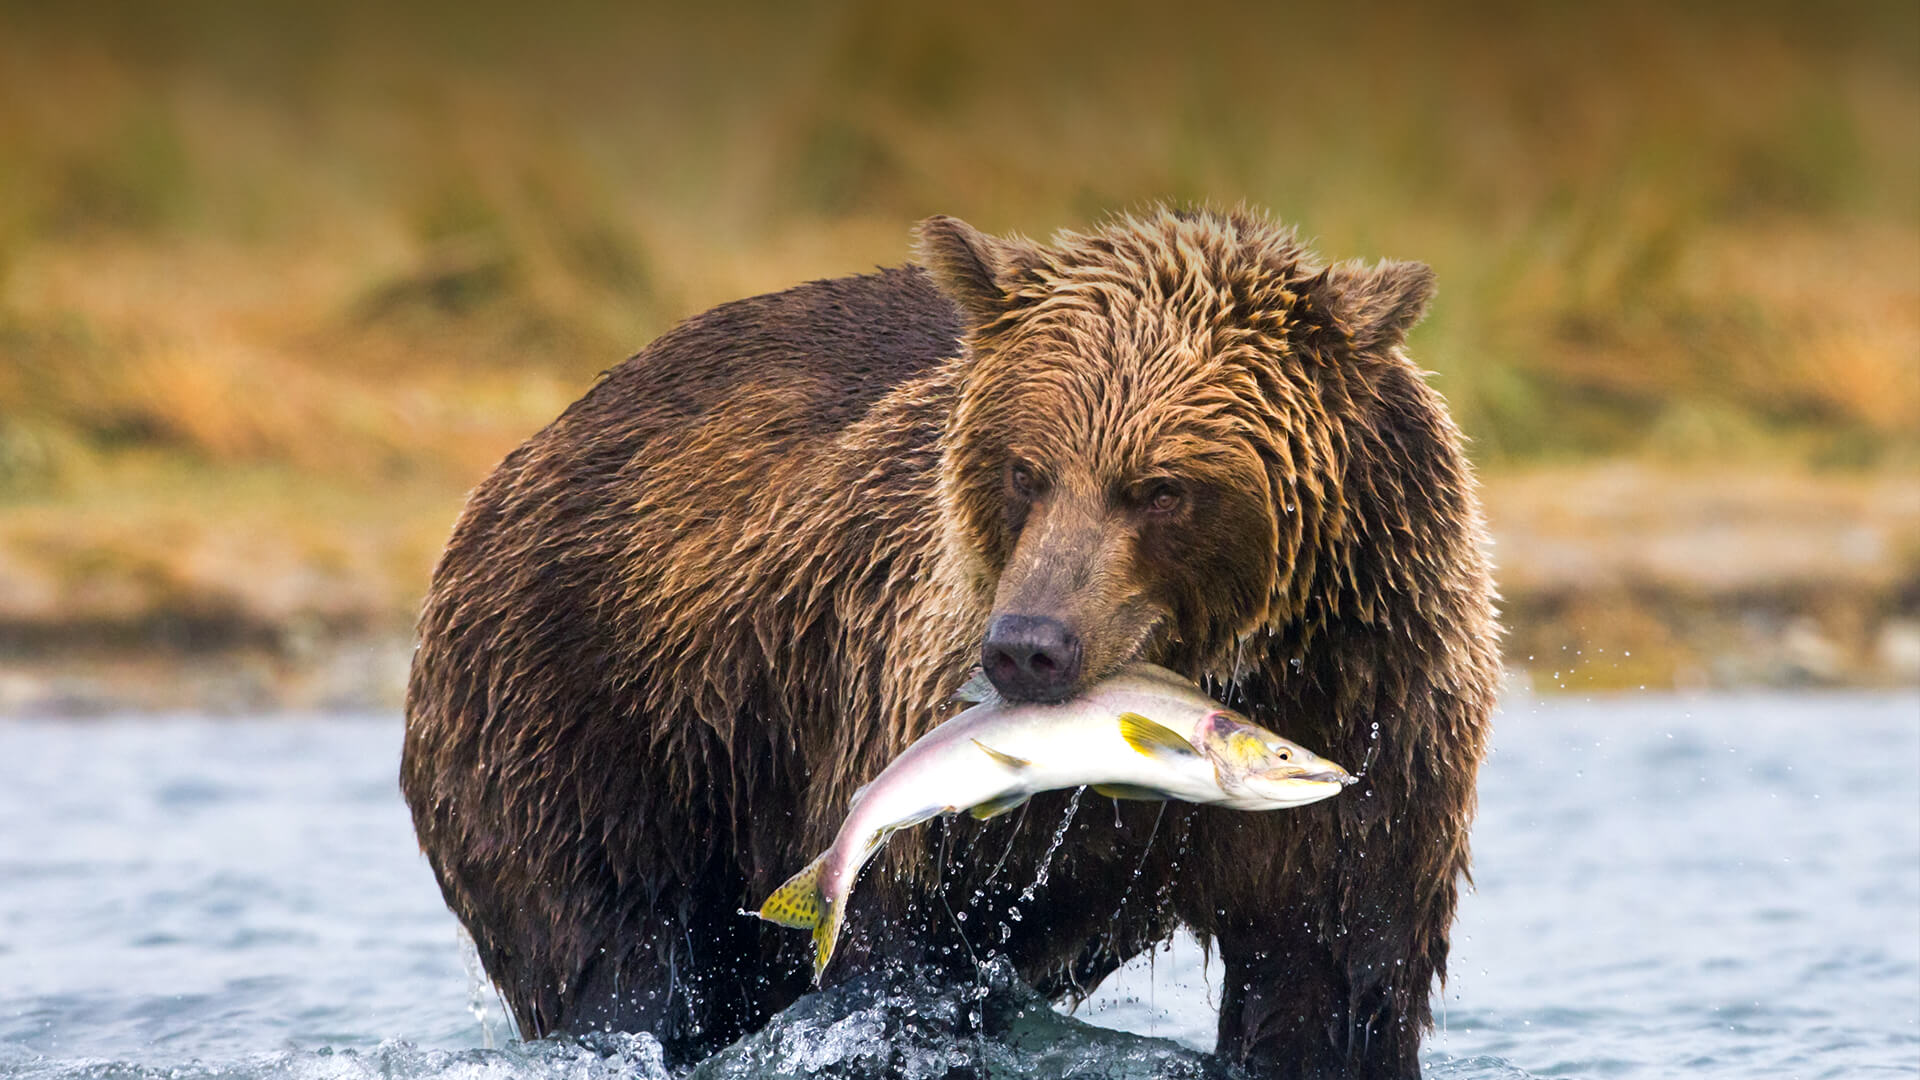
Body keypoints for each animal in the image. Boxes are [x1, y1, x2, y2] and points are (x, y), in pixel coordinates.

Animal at [405, 203, 1497, 1076]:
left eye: (1162, 489)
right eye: (1025, 469)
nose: (1027, 646)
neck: (1234, 659)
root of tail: (527, 452)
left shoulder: (1379, 718)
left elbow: (1335, 982)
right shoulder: (909, 703)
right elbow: (896, 962)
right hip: (596, 714)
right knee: (618, 959)